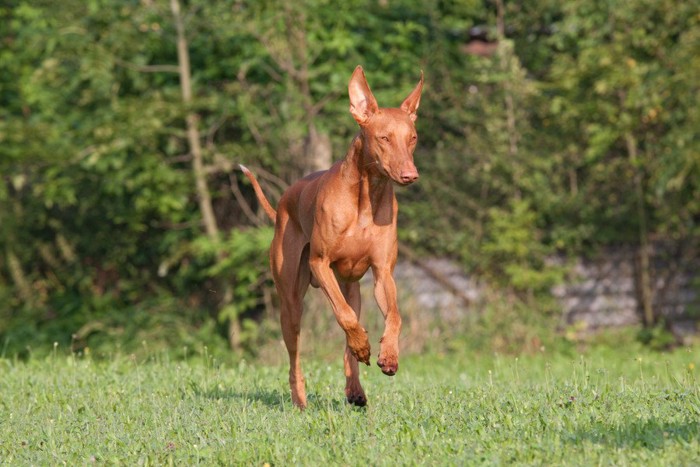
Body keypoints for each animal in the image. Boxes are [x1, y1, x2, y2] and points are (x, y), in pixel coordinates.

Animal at [241, 66, 424, 410]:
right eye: (384, 138)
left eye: (413, 138)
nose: (410, 175)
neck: (366, 197)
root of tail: (282, 203)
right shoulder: (320, 263)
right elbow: (345, 317)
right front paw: (364, 345)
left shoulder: (383, 274)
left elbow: (394, 316)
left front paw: (388, 356)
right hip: (291, 303)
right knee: (296, 356)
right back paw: (300, 400)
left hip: (352, 287)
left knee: (348, 334)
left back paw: (355, 389)